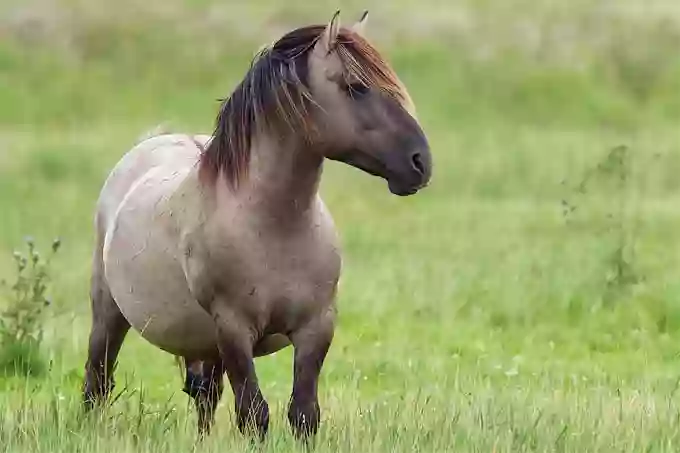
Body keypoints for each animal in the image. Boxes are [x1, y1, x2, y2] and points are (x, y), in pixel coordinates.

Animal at [81, 10, 430, 440]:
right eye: (356, 87)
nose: (420, 162)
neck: (273, 225)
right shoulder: (233, 329)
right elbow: (254, 414)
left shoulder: (316, 326)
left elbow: (303, 414)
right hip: (109, 312)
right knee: (98, 381)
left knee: (205, 396)